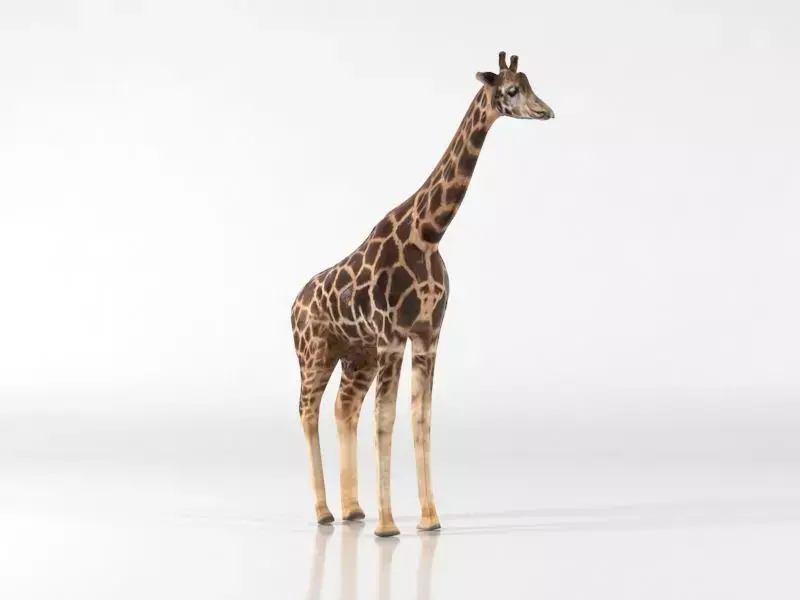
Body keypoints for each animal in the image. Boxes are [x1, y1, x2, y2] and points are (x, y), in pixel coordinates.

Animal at [290, 51, 554, 537]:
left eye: (531, 85)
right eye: (510, 89)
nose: (545, 111)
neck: (428, 233)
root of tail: (292, 305)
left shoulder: (428, 334)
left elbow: (420, 416)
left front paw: (429, 519)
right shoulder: (393, 336)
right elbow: (387, 418)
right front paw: (389, 525)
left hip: (356, 355)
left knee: (343, 408)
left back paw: (352, 509)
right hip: (315, 352)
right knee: (307, 411)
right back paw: (323, 512)